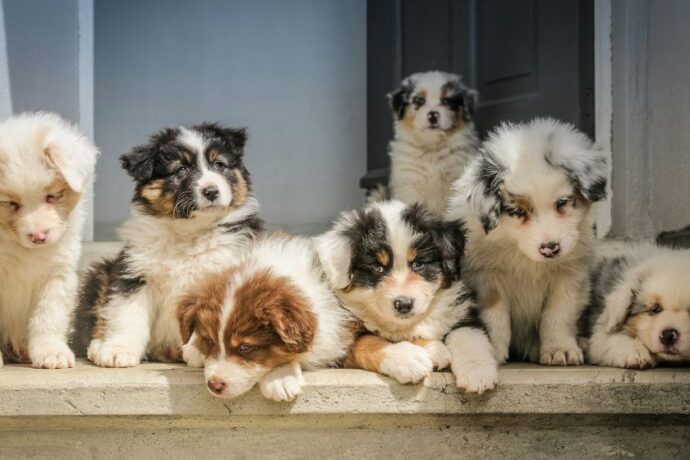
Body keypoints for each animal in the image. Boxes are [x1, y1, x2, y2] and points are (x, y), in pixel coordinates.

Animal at [0, 112, 98, 370]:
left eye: (53, 196)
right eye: (11, 203)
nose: (38, 237)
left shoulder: (58, 274)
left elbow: (49, 316)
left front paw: (51, 352)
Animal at [76, 122, 262, 366]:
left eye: (219, 165)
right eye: (180, 169)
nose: (211, 191)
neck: (189, 232)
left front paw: (200, 351)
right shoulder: (134, 274)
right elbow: (127, 314)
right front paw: (119, 350)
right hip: (102, 273)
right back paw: (99, 345)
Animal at [314, 199, 498, 394]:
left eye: (418, 263)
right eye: (377, 267)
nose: (403, 304)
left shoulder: (460, 310)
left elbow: (469, 335)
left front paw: (477, 372)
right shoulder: (338, 343)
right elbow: (368, 340)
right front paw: (410, 358)